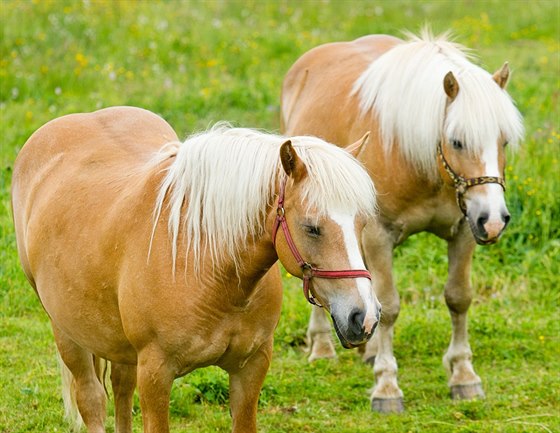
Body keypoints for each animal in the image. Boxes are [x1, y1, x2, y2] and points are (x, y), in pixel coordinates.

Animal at [10, 105, 380, 432]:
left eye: (361, 222)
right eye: (312, 228)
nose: (364, 317)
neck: (207, 265)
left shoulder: (251, 367)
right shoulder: (155, 374)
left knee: (120, 388)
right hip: (66, 332)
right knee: (91, 399)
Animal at [282, 31, 524, 412]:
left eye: (504, 140)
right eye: (457, 141)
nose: (495, 220)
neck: (419, 161)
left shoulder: (463, 231)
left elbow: (458, 298)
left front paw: (463, 375)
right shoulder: (379, 235)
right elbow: (390, 305)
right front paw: (386, 386)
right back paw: (322, 346)